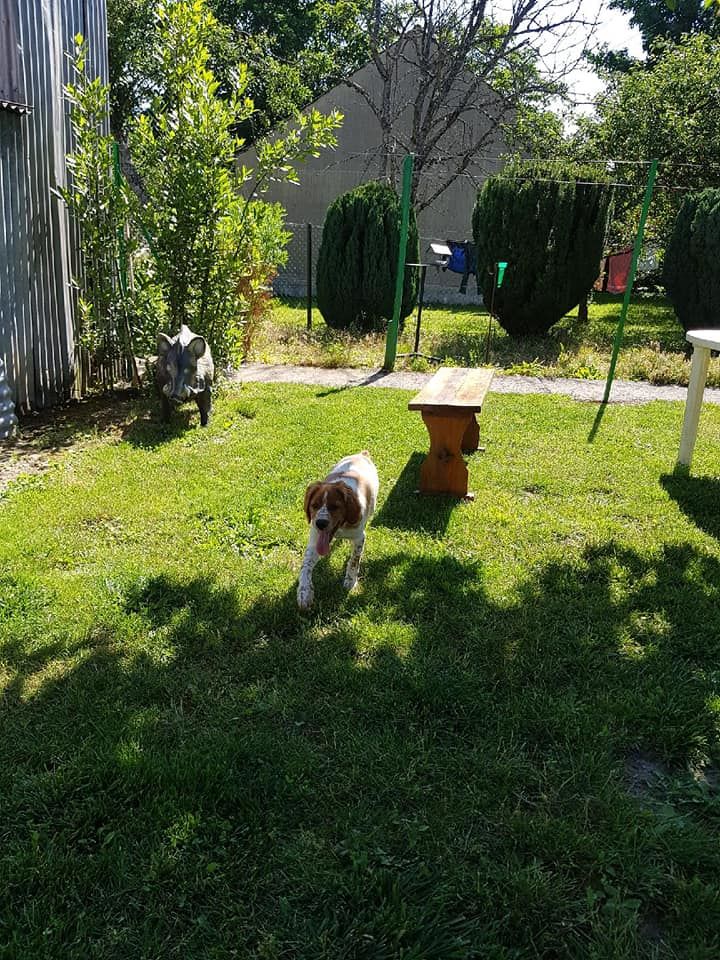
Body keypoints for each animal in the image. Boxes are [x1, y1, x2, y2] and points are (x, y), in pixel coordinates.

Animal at [296, 450, 380, 608]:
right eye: (314, 505)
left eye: (335, 507)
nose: (320, 523)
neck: (340, 528)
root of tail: (362, 454)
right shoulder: (315, 539)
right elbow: (305, 565)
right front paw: (304, 592)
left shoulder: (360, 537)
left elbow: (354, 559)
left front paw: (350, 581)